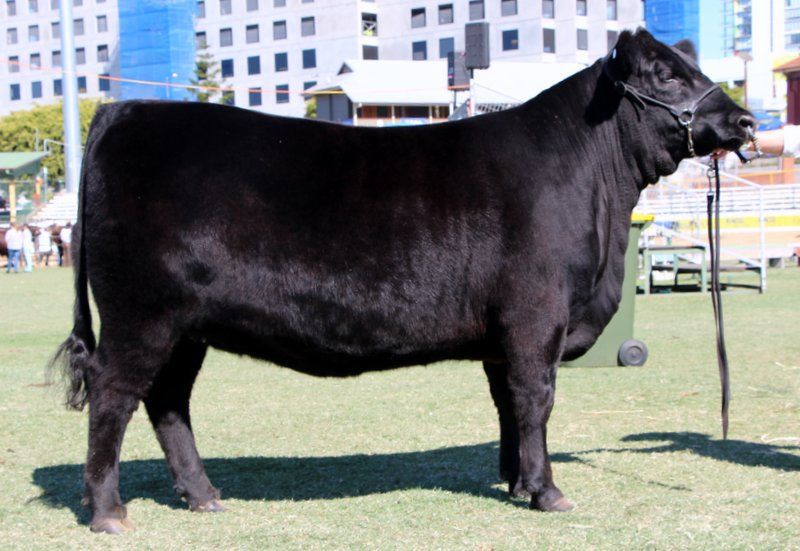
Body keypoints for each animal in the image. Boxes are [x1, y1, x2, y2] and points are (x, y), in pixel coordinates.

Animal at [54, 30, 753, 534]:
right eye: (666, 74)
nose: (744, 122)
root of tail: (121, 110)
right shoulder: (536, 315)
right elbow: (537, 399)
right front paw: (549, 492)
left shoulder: (504, 334)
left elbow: (509, 404)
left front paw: (518, 483)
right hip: (142, 315)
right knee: (114, 395)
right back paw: (109, 513)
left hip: (185, 328)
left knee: (168, 402)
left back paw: (203, 496)